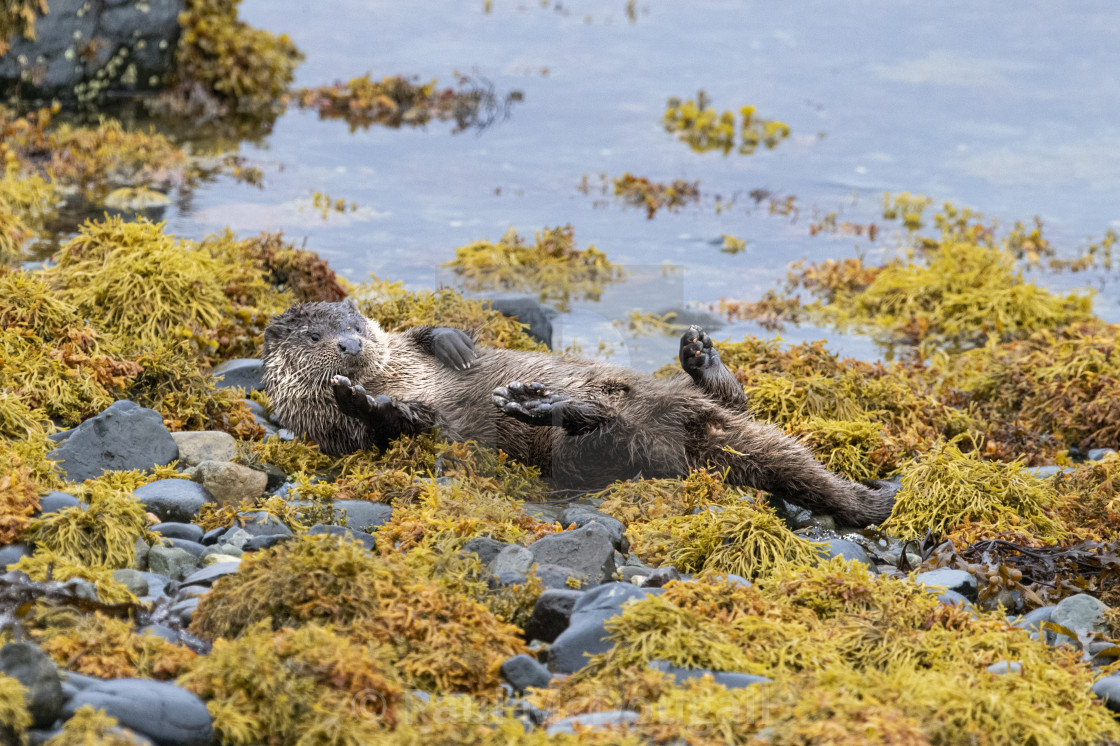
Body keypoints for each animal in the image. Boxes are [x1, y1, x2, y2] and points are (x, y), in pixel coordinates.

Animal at [257, 300, 896, 521]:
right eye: (314, 336)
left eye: (354, 322)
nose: (349, 346)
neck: (395, 376)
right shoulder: (337, 435)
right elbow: (393, 426)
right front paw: (359, 398)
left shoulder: (402, 346)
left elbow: (423, 331)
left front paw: (453, 343)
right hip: (630, 452)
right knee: (608, 430)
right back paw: (542, 406)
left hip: (680, 405)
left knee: (730, 396)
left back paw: (699, 356)